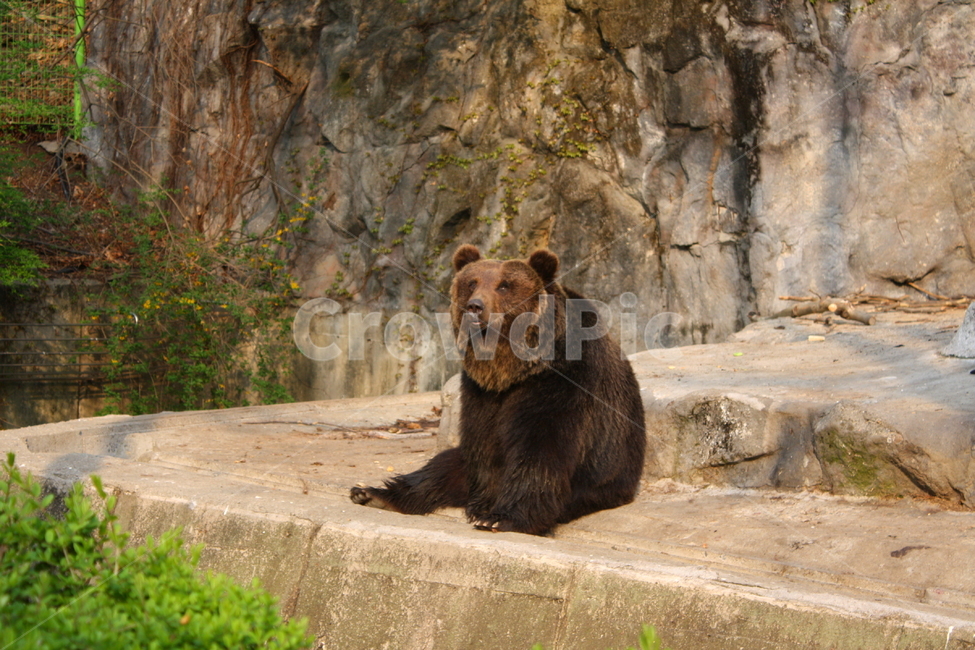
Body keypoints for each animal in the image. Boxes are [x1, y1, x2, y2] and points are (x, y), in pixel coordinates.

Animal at [350, 244, 646, 536]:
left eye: (504, 285)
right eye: (472, 282)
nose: (475, 306)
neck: (513, 370)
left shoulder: (562, 381)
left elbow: (541, 449)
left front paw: (500, 518)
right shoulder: (480, 391)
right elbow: (483, 443)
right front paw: (484, 506)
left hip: (605, 477)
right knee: (441, 467)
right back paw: (372, 493)